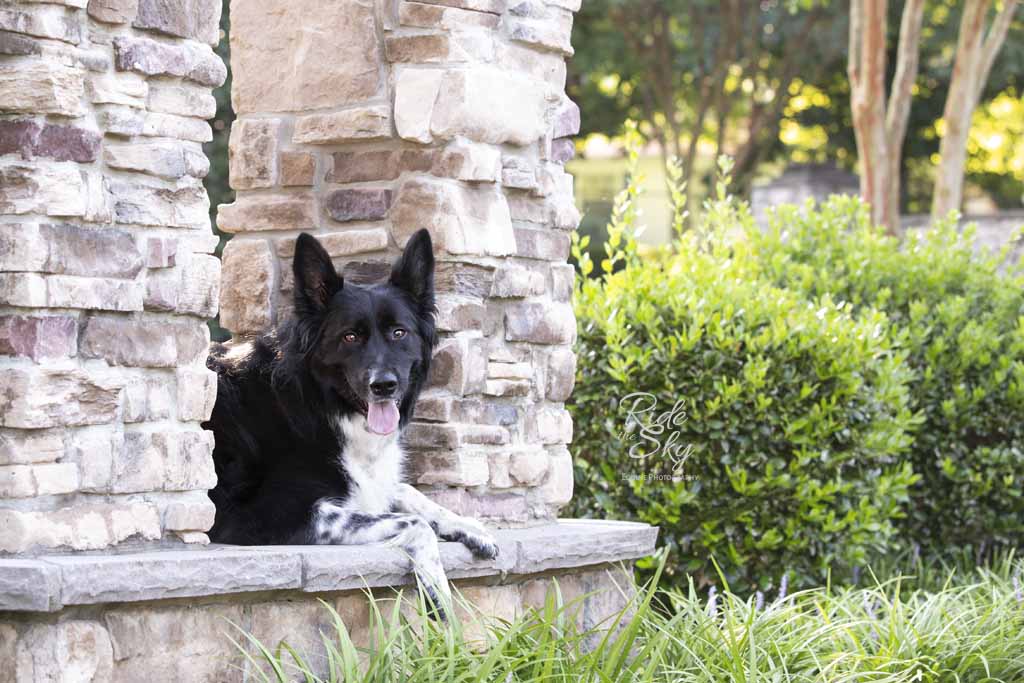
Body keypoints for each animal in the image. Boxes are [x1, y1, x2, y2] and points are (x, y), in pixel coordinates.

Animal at [200, 231, 499, 614]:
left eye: (399, 333)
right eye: (350, 337)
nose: (384, 385)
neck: (311, 405)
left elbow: (404, 490)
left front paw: (467, 525)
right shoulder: (269, 518)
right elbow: (415, 523)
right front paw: (436, 589)